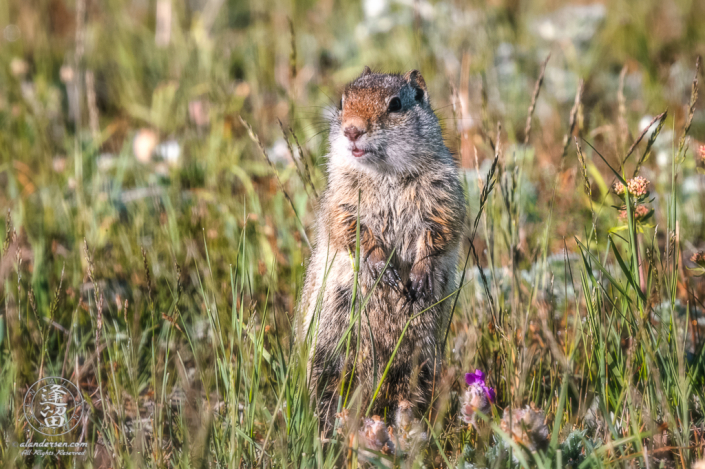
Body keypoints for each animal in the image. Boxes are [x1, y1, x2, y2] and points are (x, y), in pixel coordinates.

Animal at [300, 66, 464, 432]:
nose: (352, 130)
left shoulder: (442, 192)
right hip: (329, 350)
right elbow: (349, 227)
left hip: (423, 360)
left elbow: (442, 227)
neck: (384, 174)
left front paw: (419, 275)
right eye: (343, 101)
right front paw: (380, 266)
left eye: (395, 104)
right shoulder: (342, 198)